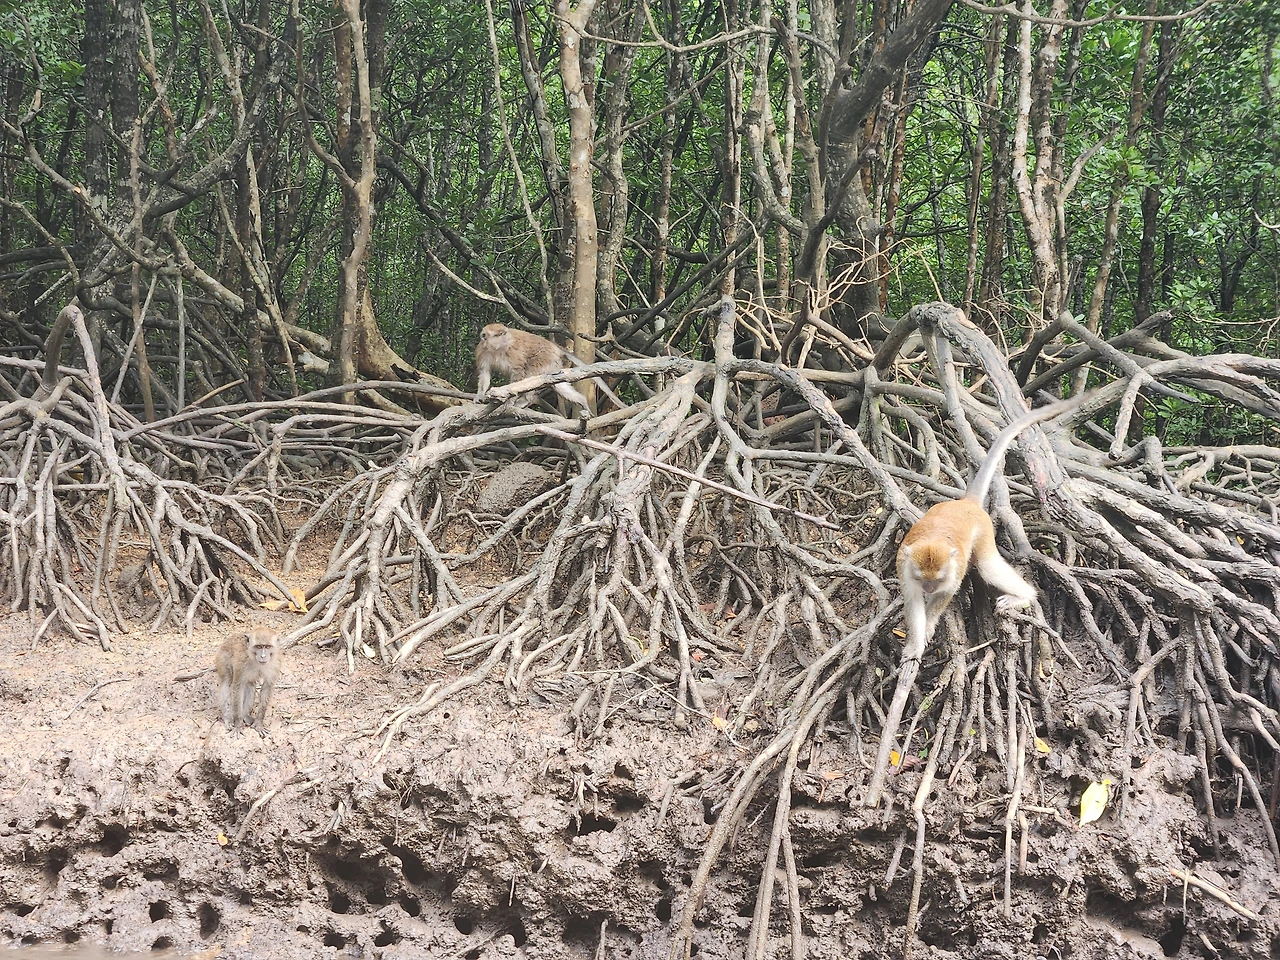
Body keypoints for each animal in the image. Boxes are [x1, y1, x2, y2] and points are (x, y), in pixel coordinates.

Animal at [896, 397, 1084, 647]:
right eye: (921, 578)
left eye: (937, 579)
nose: (928, 587)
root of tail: (966, 503)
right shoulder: (904, 568)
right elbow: (912, 600)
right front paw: (914, 646)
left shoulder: (952, 573)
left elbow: (945, 595)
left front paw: (927, 626)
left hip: (985, 530)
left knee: (987, 566)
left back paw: (1025, 595)